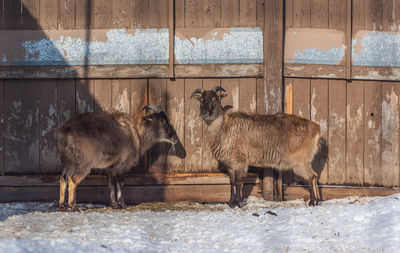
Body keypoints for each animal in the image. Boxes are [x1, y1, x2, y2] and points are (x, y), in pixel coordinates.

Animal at [190, 87, 322, 208]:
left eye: (214, 99)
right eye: (201, 99)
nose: (204, 113)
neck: (224, 128)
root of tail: (316, 129)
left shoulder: (240, 161)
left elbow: (238, 182)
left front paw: (238, 203)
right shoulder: (230, 165)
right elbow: (232, 182)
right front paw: (231, 202)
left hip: (301, 161)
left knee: (311, 177)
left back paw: (312, 201)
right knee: (315, 176)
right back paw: (317, 201)